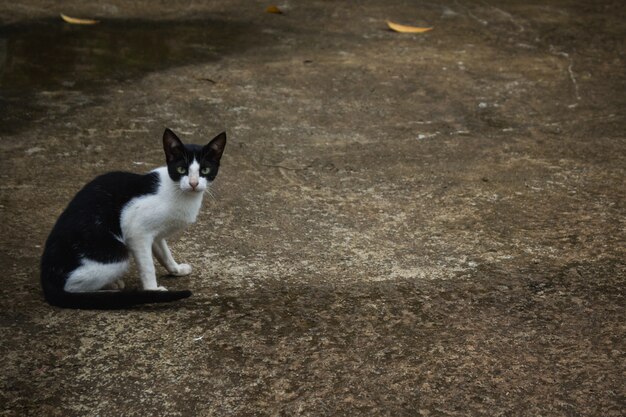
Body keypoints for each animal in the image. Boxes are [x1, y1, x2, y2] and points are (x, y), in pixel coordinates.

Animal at [39, 128, 224, 308]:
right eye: (181, 170)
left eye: (205, 170)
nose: (193, 183)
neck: (179, 192)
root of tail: (46, 275)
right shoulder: (137, 231)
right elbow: (148, 266)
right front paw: (152, 290)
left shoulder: (155, 235)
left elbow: (164, 253)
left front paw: (176, 269)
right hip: (116, 254)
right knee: (72, 286)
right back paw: (111, 293)